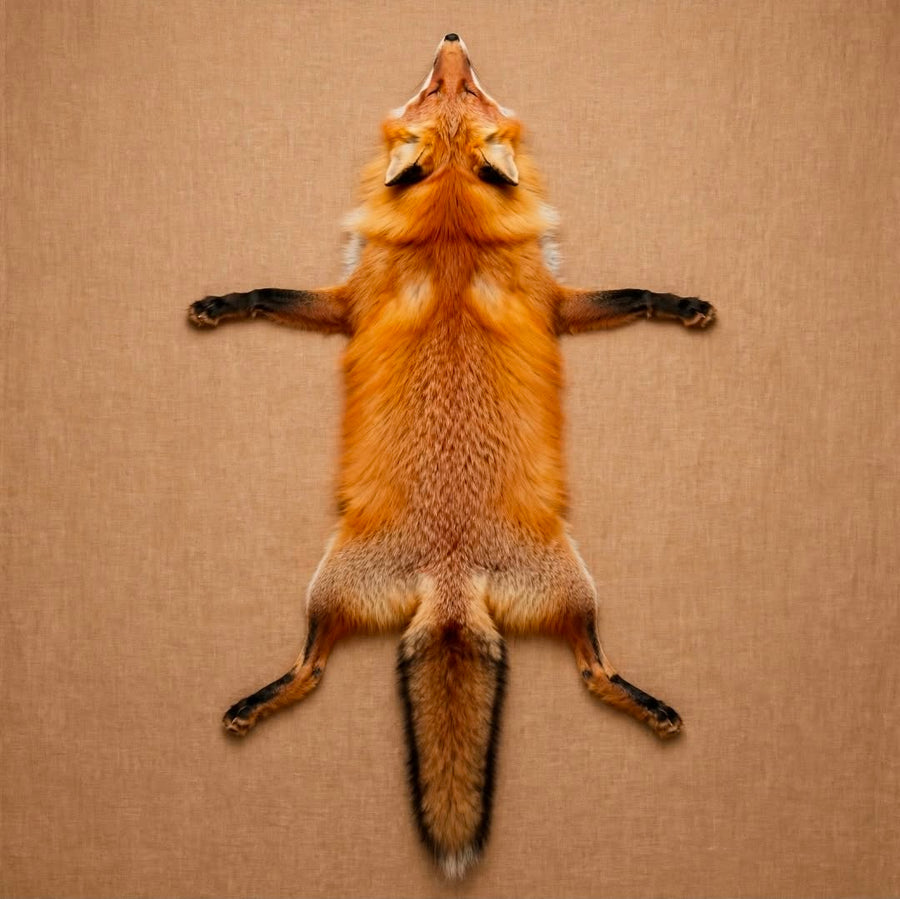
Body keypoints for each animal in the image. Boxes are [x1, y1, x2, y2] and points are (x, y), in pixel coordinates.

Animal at [189, 34, 715, 879]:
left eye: (470, 94)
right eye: (432, 94)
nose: (452, 38)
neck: (452, 221)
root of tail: (452, 576)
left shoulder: (553, 298)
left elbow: (637, 293)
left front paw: (682, 305)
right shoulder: (351, 297)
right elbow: (266, 292)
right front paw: (221, 304)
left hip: (570, 591)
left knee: (590, 671)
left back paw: (650, 705)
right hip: (332, 590)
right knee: (313, 669)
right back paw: (256, 701)